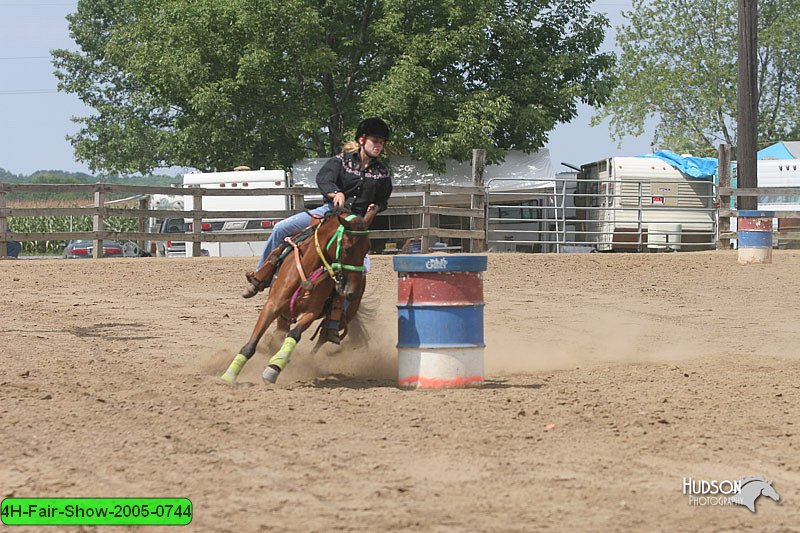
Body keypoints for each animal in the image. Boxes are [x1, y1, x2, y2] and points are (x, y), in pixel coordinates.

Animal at [220, 206, 374, 384]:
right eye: (348, 249)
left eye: (367, 248)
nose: (352, 292)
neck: (307, 272)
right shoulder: (272, 306)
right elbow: (251, 344)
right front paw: (229, 375)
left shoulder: (311, 312)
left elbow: (294, 334)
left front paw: (273, 368)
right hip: (284, 315)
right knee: (280, 334)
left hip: (342, 318)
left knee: (322, 337)